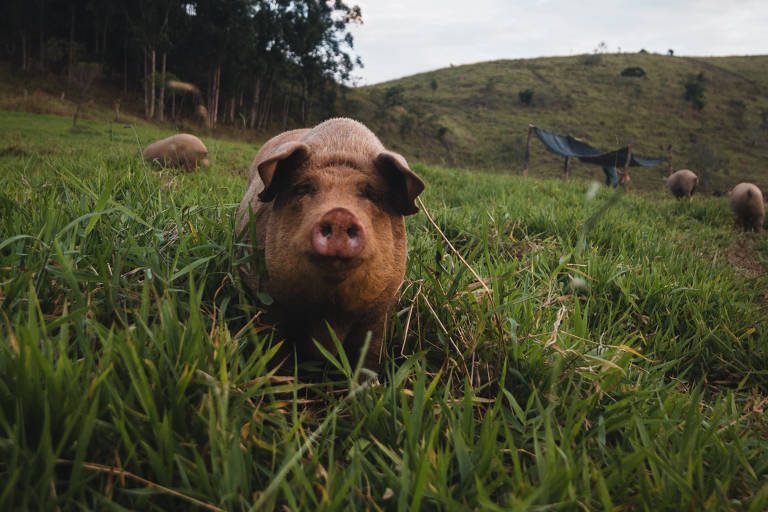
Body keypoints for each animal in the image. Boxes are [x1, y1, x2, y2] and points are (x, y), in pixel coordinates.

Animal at [236, 118, 426, 370]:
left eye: (373, 195)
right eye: (304, 188)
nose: (339, 214)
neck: (331, 313)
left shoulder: (380, 311)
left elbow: (369, 357)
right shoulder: (270, 301)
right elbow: (276, 350)